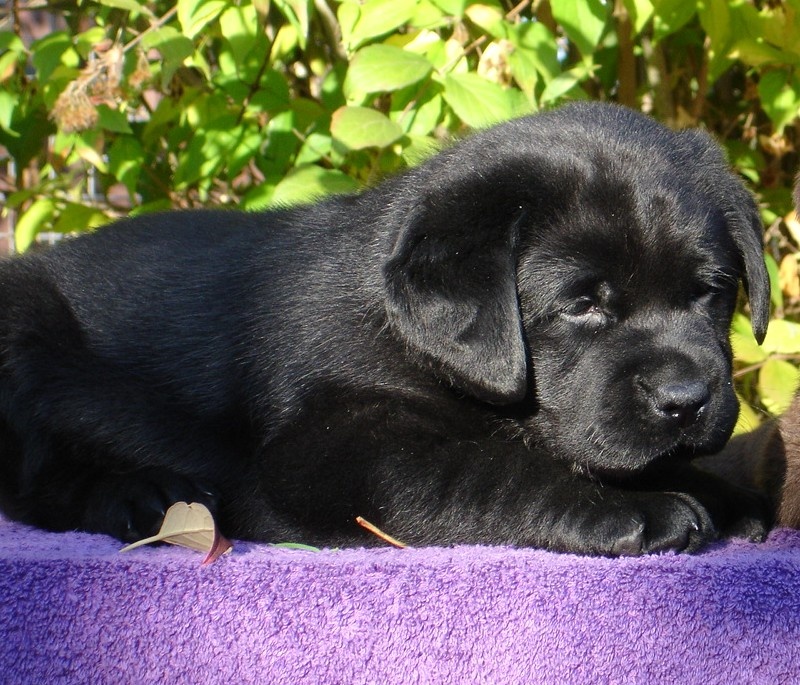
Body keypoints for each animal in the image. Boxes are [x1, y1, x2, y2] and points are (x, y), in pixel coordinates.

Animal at [0, 102, 773, 556]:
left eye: (710, 292)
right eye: (583, 305)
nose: (686, 400)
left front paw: (726, 495)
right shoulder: (327, 453)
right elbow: (487, 469)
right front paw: (634, 510)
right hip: (25, 332)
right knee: (39, 477)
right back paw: (145, 495)